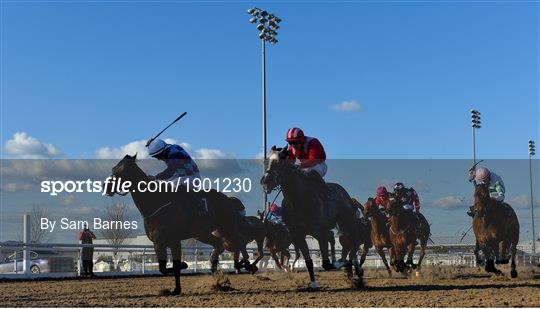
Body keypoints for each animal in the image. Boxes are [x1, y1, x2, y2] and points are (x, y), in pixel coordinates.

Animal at [108, 154, 251, 294]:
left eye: (124, 171)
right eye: (114, 169)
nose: (107, 186)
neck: (156, 202)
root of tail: (229, 199)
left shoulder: (174, 240)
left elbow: (174, 266)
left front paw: (184, 267)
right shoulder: (158, 242)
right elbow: (163, 268)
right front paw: (176, 289)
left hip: (227, 228)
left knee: (239, 242)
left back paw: (247, 266)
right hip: (203, 234)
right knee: (220, 244)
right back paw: (218, 278)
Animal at [260, 146, 360, 288]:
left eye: (280, 163)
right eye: (266, 161)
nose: (265, 181)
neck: (297, 199)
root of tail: (346, 195)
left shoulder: (319, 231)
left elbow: (326, 264)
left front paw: (336, 264)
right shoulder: (298, 235)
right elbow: (307, 260)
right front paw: (313, 283)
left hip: (347, 221)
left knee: (353, 240)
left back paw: (348, 266)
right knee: (340, 240)